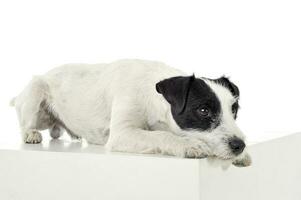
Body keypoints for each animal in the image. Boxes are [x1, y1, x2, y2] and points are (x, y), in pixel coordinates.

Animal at [10, 59, 251, 167]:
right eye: (203, 110)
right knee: (25, 121)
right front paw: (188, 144)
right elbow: (161, 135)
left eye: (234, 109)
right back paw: (31, 134)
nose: (239, 145)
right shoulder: (122, 133)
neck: (151, 92)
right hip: (36, 92)